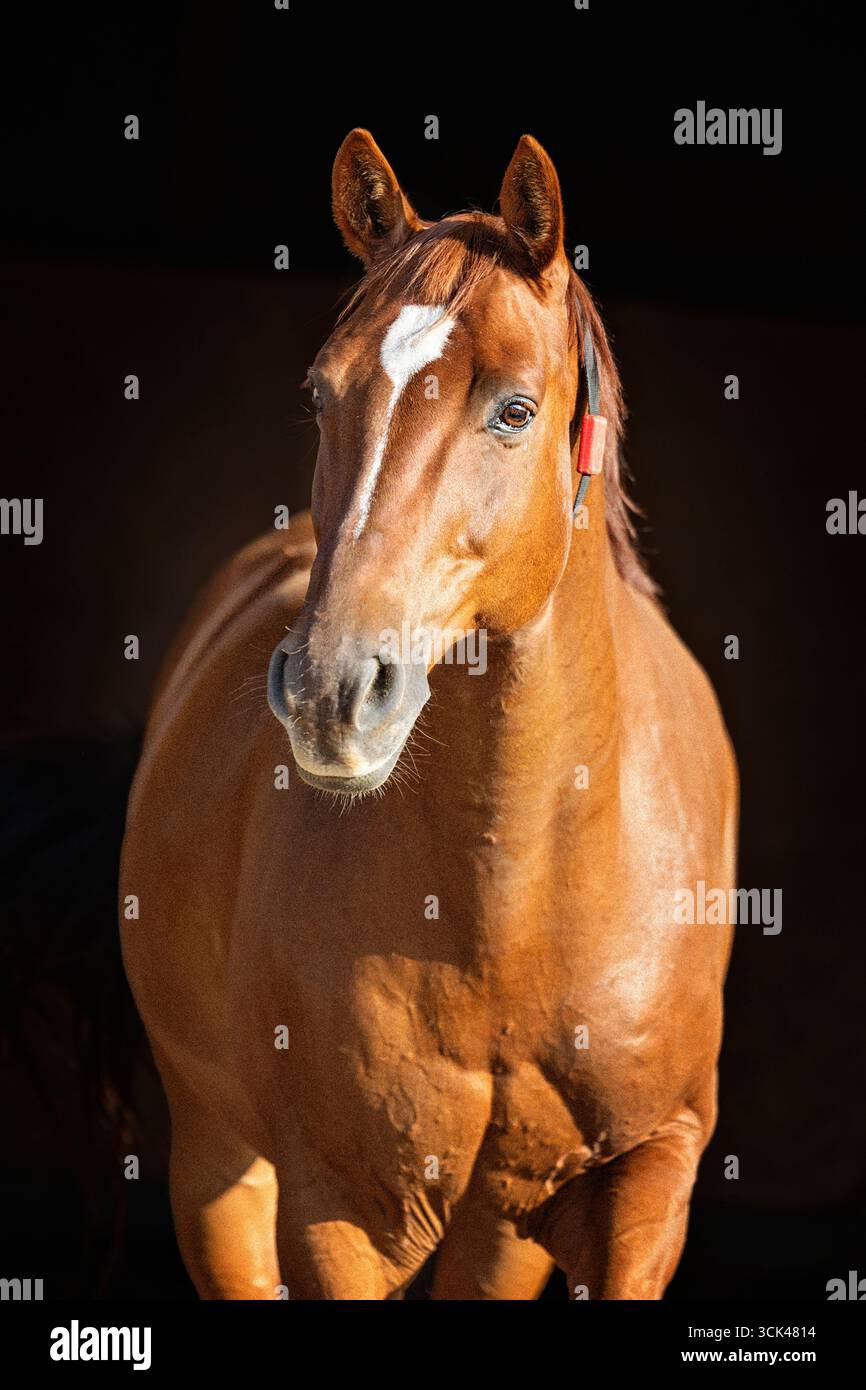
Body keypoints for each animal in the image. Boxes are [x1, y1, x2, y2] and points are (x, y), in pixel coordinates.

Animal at [120, 130, 737, 1300]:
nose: (329, 690)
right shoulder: (336, 1208)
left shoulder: (648, 1180)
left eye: (513, 409)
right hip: (220, 1174)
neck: (516, 890)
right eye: (320, 395)